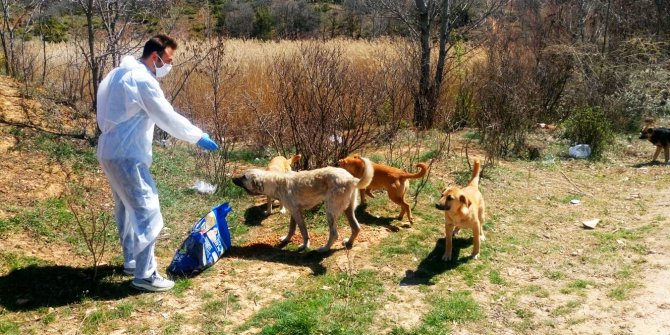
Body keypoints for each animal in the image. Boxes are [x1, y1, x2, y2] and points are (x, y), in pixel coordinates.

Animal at [234, 158, 376, 252]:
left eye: (243, 177)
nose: (232, 179)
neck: (276, 182)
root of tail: (351, 179)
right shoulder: (294, 212)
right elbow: (291, 229)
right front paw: (286, 239)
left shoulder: (297, 213)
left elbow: (303, 231)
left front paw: (304, 246)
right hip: (348, 210)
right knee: (356, 227)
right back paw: (349, 242)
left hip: (330, 212)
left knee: (334, 233)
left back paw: (324, 249)